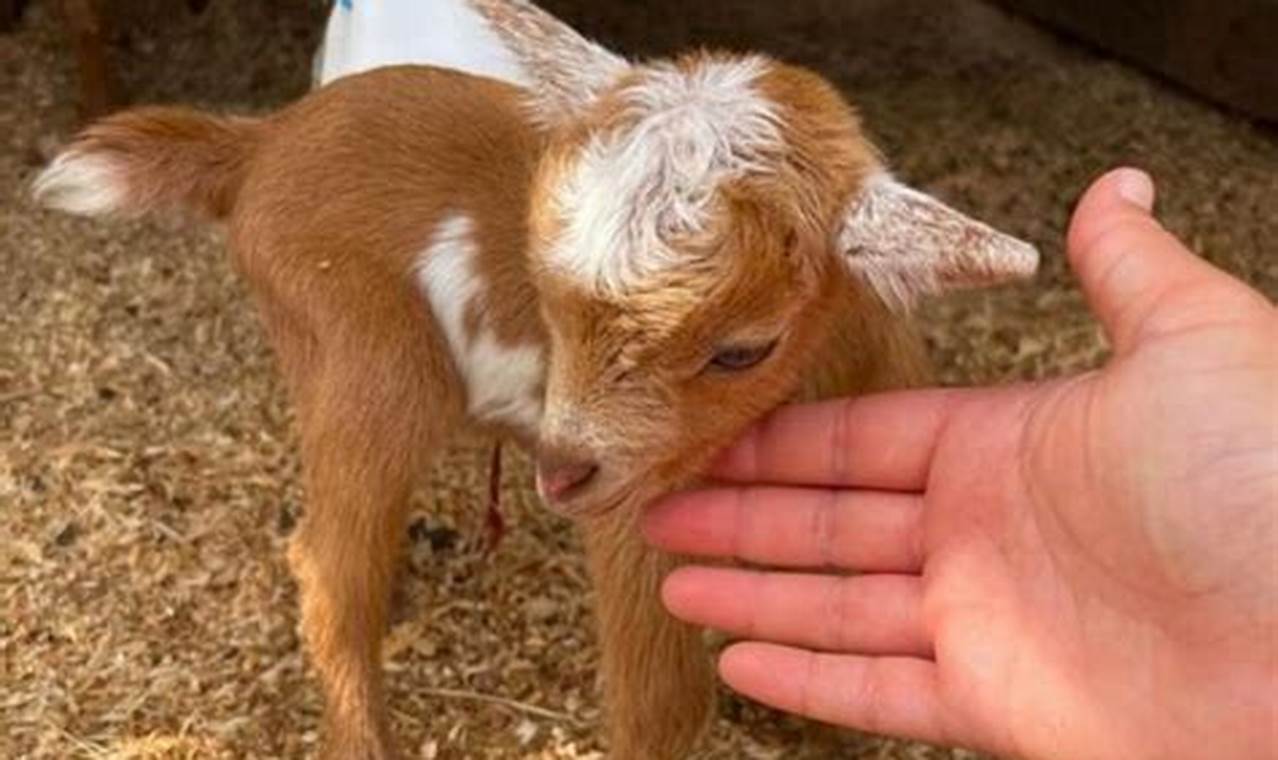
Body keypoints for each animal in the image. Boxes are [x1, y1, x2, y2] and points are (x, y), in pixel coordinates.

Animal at [33, 1, 1038, 757]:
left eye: (743, 348)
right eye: (549, 300)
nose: (561, 471)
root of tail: (260, 142)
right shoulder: (639, 514)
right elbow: (663, 701)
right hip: (366, 357)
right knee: (326, 567)